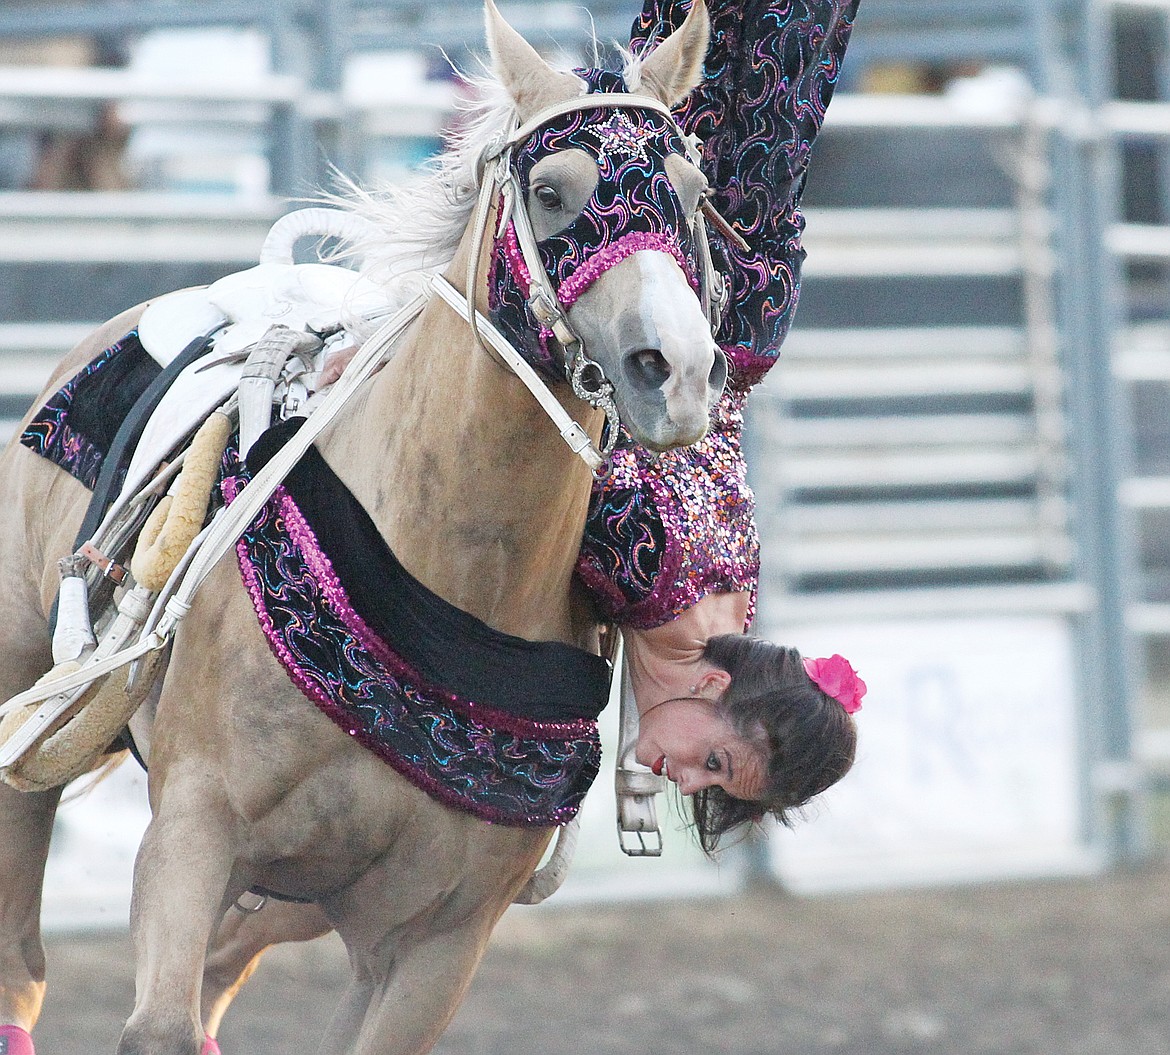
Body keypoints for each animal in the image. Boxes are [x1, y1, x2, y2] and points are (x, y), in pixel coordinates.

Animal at [0, 2, 720, 1055]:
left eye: (696, 193)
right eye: (551, 192)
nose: (675, 370)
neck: (447, 575)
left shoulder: (436, 939)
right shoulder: (192, 831)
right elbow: (160, 1021)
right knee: (23, 965)